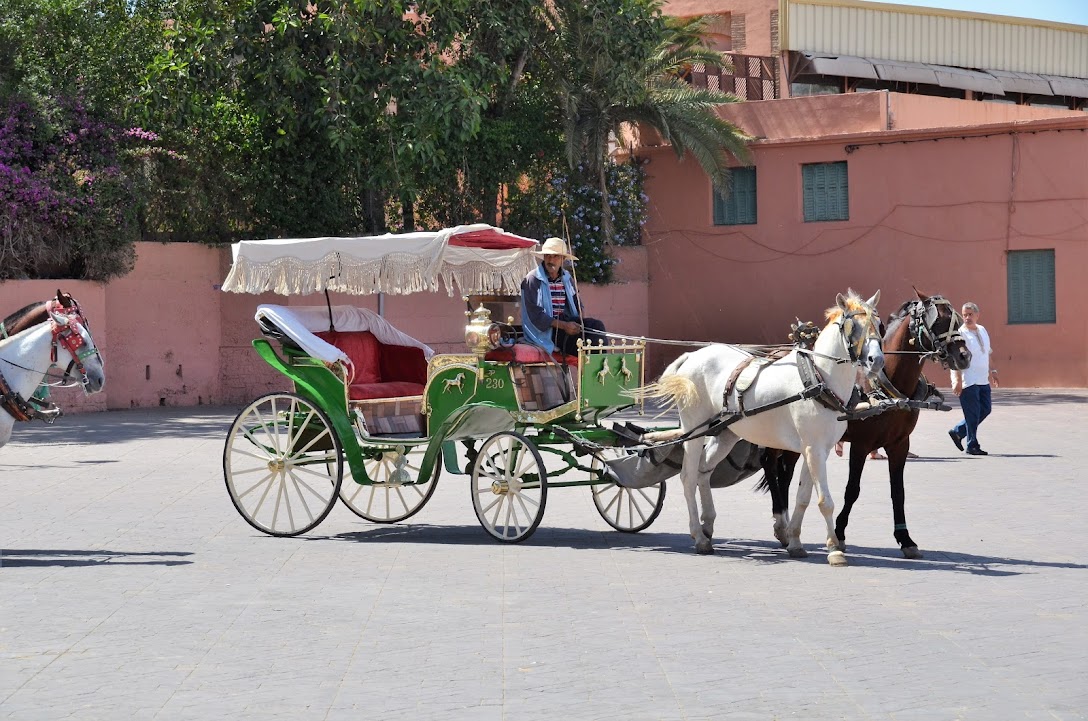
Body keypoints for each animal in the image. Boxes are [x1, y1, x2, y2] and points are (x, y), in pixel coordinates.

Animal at [644, 291, 883, 565]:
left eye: (879, 324)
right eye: (853, 326)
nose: (877, 360)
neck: (818, 379)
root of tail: (692, 356)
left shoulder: (816, 450)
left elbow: (803, 498)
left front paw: (795, 541)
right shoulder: (813, 449)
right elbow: (825, 501)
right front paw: (834, 548)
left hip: (725, 433)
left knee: (704, 472)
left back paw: (707, 525)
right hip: (693, 430)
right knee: (688, 477)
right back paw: (699, 536)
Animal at [770, 291, 974, 561]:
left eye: (958, 321)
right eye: (938, 321)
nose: (964, 356)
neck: (884, 385)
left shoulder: (899, 444)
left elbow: (898, 491)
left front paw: (905, 538)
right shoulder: (861, 445)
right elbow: (852, 490)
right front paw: (839, 534)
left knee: (783, 475)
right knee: (775, 471)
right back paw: (781, 524)